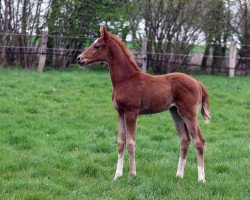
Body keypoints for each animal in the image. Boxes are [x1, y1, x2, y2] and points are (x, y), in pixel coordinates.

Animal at [77, 25, 210, 182]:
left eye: (97, 46)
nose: (79, 59)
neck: (125, 79)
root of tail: (197, 83)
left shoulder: (131, 113)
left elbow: (130, 142)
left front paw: (132, 174)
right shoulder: (120, 113)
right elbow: (120, 142)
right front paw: (117, 175)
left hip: (189, 113)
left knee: (199, 140)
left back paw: (201, 179)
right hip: (176, 112)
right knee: (185, 140)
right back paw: (179, 175)